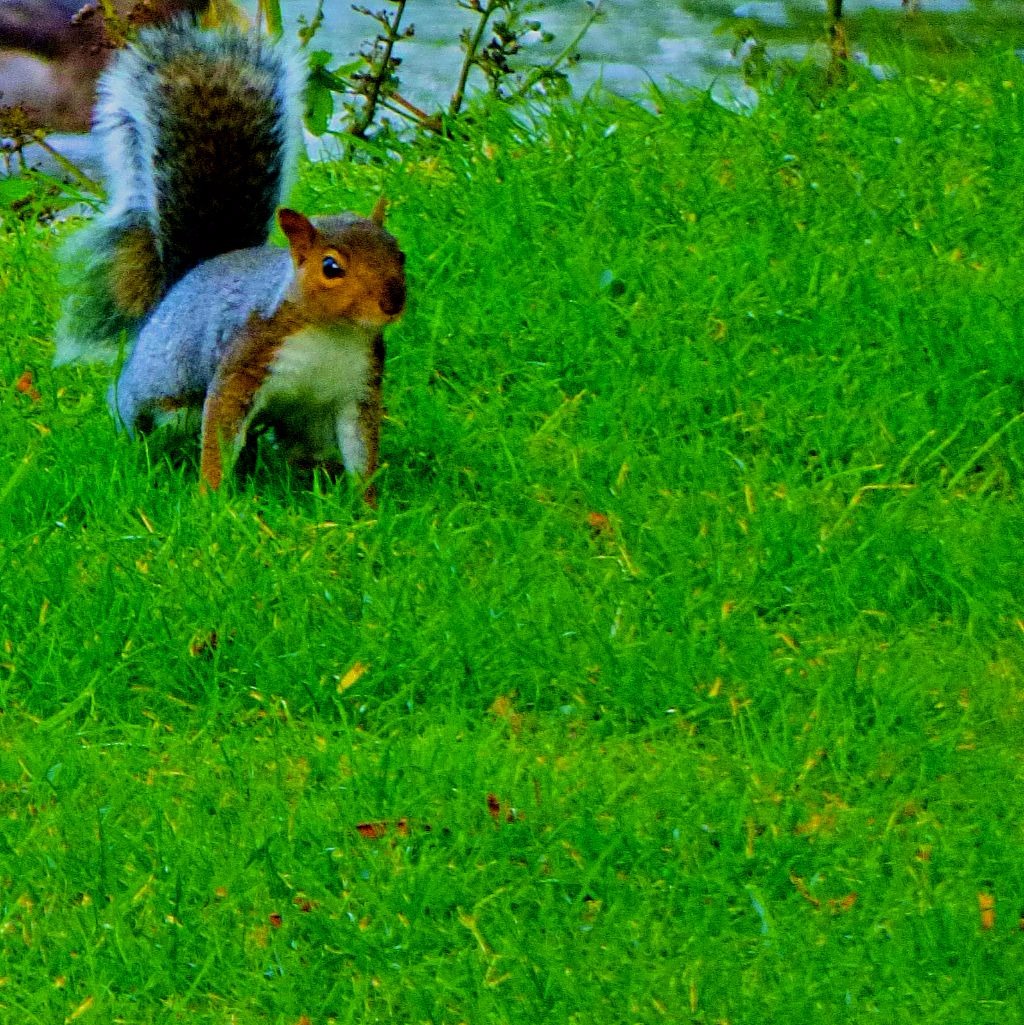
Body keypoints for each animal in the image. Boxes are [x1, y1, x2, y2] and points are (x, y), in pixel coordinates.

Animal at [54, 19, 407, 500]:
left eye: (400, 253)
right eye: (331, 267)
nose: (393, 303)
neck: (332, 332)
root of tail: (186, 278)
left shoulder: (358, 388)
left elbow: (361, 448)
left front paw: (367, 504)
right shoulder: (243, 362)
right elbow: (219, 436)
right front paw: (211, 500)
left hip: (309, 424)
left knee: (302, 451)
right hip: (163, 397)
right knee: (148, 423)